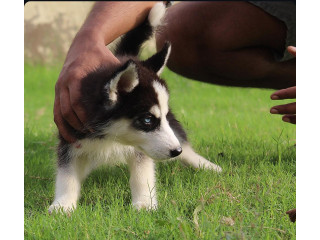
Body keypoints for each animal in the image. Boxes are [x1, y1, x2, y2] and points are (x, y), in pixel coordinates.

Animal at [48, 1, 221, 212]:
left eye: (162, 116)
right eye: (147, 120)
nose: (175, 151)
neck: (112, 137)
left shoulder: (142, 148)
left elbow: (142, 174)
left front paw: (145, 202)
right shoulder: (71, 135)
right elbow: (67, 174)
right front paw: (63, 204)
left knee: (184, 144)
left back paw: (204, 164)